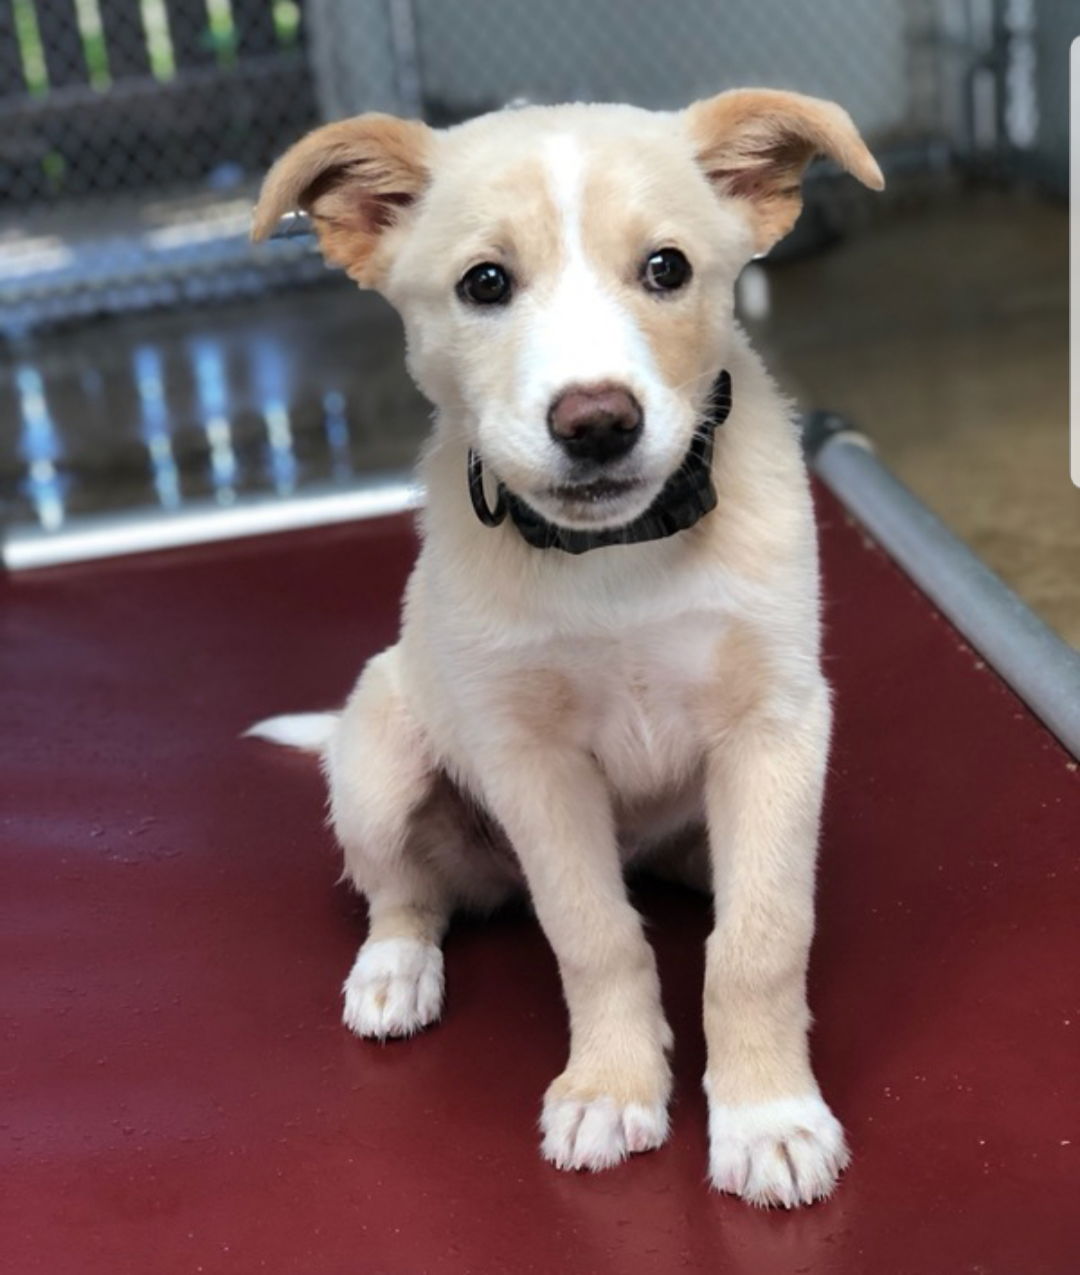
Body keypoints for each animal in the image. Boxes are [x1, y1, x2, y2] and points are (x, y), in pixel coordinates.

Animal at [251, 89, 887, 1203]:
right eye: (485, 283)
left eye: (668, 269)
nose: (598, 423)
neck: (616, 558)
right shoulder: (534, 762)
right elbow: (595, 936)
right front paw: (612, 1087)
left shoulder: (778, 724)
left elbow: (761, 938)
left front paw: (766, 1113)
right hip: (378, 760)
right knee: (403, 891)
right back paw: (395, 969)